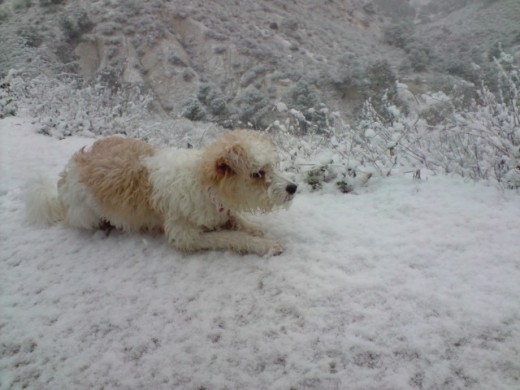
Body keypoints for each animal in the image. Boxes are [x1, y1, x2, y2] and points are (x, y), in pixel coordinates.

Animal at [25, 129, 296, 256]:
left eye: (273, 166)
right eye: (258, 173)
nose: (293, 188)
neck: (205, 186)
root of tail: (65, 175)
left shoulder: (220, 211)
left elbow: (235, 220)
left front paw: (252, 226)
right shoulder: (185, 236)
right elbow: (230, 236)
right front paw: (264, 244)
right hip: (84, 213)